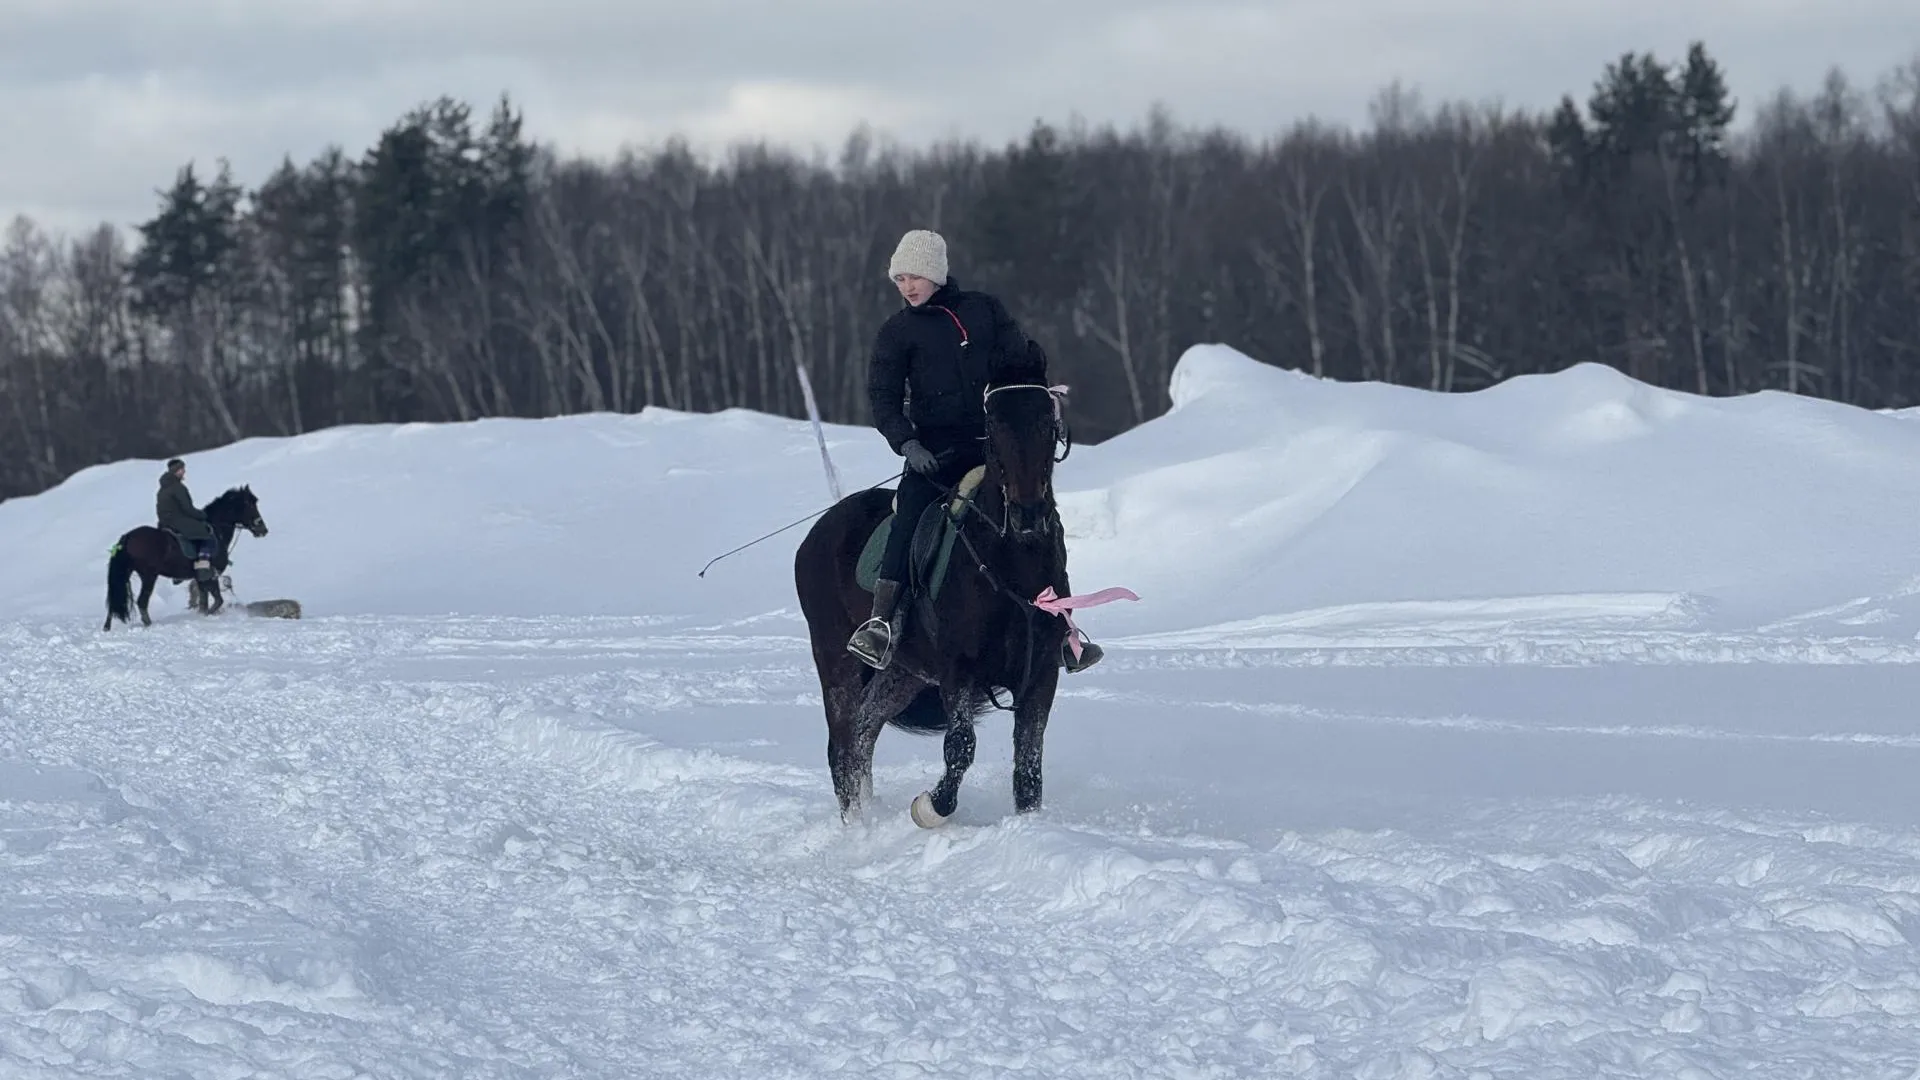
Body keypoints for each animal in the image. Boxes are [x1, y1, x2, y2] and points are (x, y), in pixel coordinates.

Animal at [103, 485, 269, 629]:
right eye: (248, 504)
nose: (263, 529)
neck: (217, 531)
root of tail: (127, 537)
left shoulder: (201, 579)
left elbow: (205, 602)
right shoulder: (211, 575)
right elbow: (217, 601)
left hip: (125, 573)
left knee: (114, 600)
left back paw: (107, 627)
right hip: (149, 576)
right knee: (142, 602)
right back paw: (148, 624)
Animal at [794, 360, 1080, 827]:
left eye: (1047, 421)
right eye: (994, 425)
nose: (1028, 514)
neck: (1010, 562)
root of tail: (818, 531)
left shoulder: (1040, 673)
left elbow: (1029, 763)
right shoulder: (958, 671)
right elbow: (960, 746)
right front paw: (929, 807)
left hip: (903, 673)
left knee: (864, 730)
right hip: (835, 659)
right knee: (842, 745)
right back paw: (858, 826)